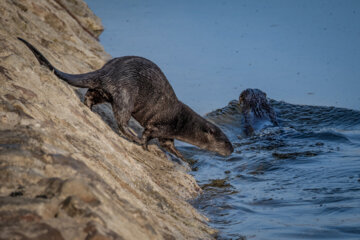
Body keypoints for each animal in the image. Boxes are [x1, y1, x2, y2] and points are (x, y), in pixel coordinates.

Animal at [18, 37, 233, 160]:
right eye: (224, 142)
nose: (232, 150)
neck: (182, 122)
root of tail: (107, 71)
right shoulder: (161, 125)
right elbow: (148, 135)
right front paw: (146, 147)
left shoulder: (168, 133)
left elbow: (169, 145)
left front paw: (184, 159)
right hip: (126, 93)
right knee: (121, 120)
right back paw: (133, 137)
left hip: (106, 91)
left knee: (91, 94)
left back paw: (88, 108)